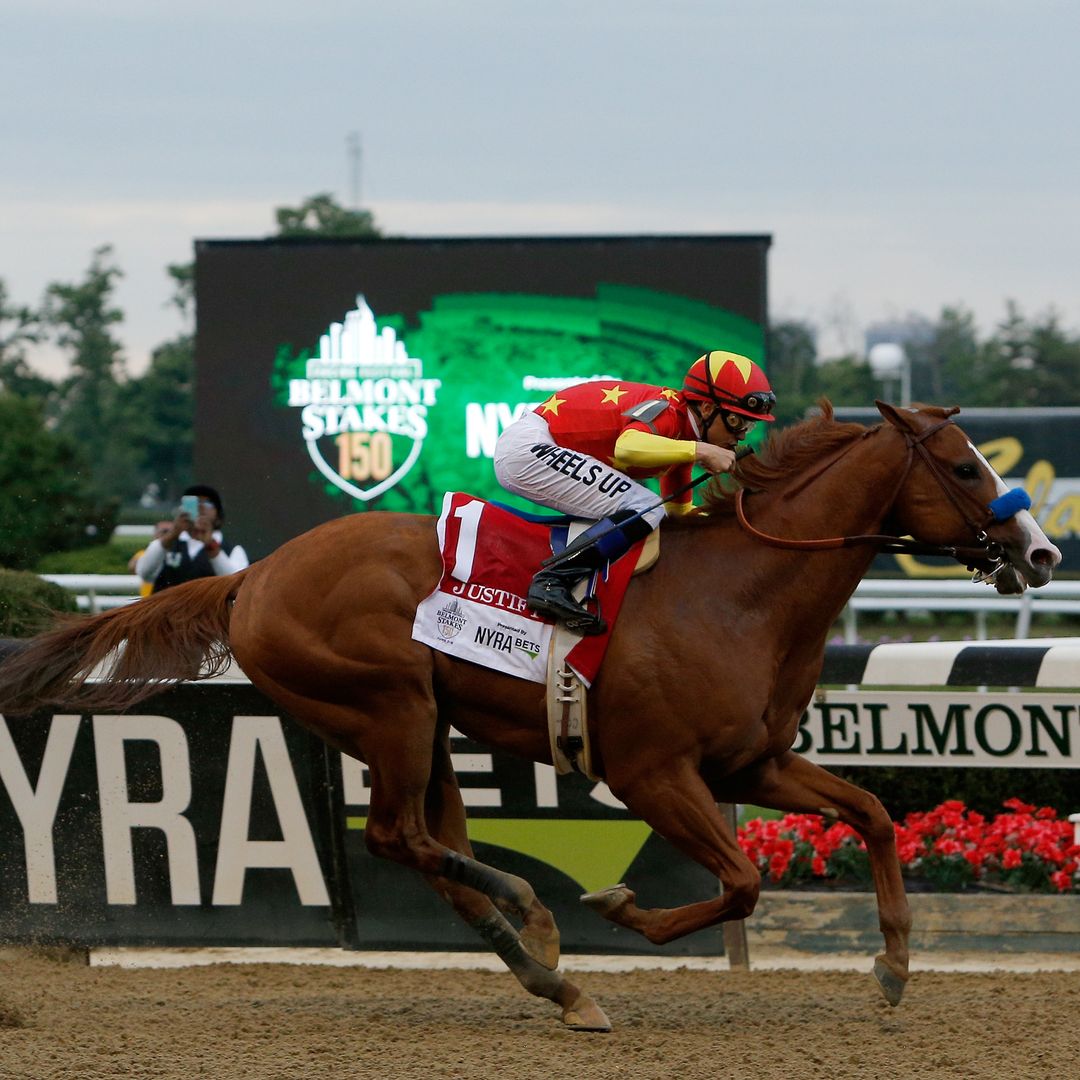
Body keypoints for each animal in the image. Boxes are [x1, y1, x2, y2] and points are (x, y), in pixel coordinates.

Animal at [0, 403, 1062, 1028]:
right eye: (965, 468)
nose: (1042, 552)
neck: (739, 595)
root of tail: (251, 577)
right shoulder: (654, 773)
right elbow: (744, 881)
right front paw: (619, 904)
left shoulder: (751, 765)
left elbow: (873, 816)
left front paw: (893, 964)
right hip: (388, 703)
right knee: (396, 837)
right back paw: (538, 922)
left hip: (424, 722)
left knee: (425, 843)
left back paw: (547, 969)